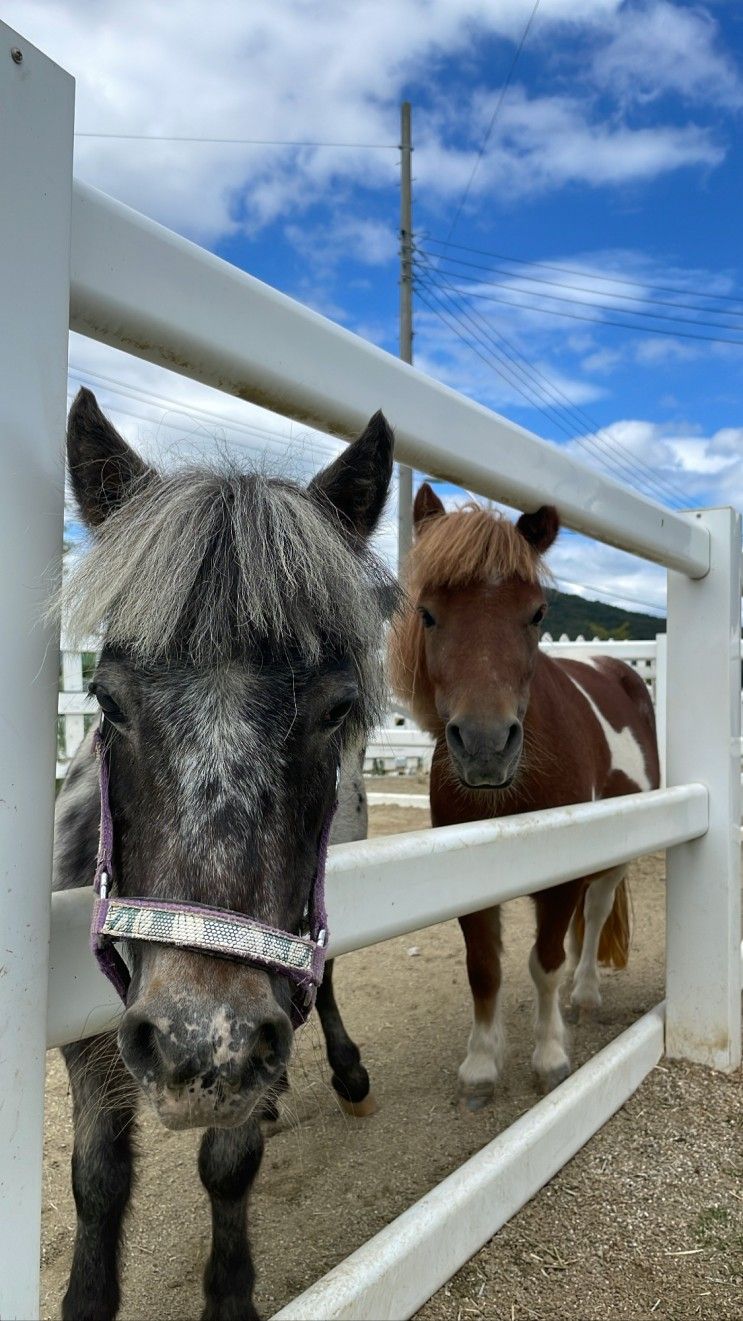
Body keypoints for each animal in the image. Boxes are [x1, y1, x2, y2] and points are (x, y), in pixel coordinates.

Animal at [53, 391, 393, 1321]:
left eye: (336, 707)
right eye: (105, 699)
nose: (199, 1046)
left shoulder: (266, 1002)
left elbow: (228, 1166)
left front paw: (230, 1294)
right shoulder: (91, 1039)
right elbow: (98, 1177)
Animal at [391, 486, 655, 1104]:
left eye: (537, 613)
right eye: (428, 613)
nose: (486, 745)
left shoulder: (559, 880)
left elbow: (546, 963)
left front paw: (551, 1055)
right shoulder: (470, 880)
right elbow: (483, 969)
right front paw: (481, 1066)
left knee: (596, 913)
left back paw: (584, 996)